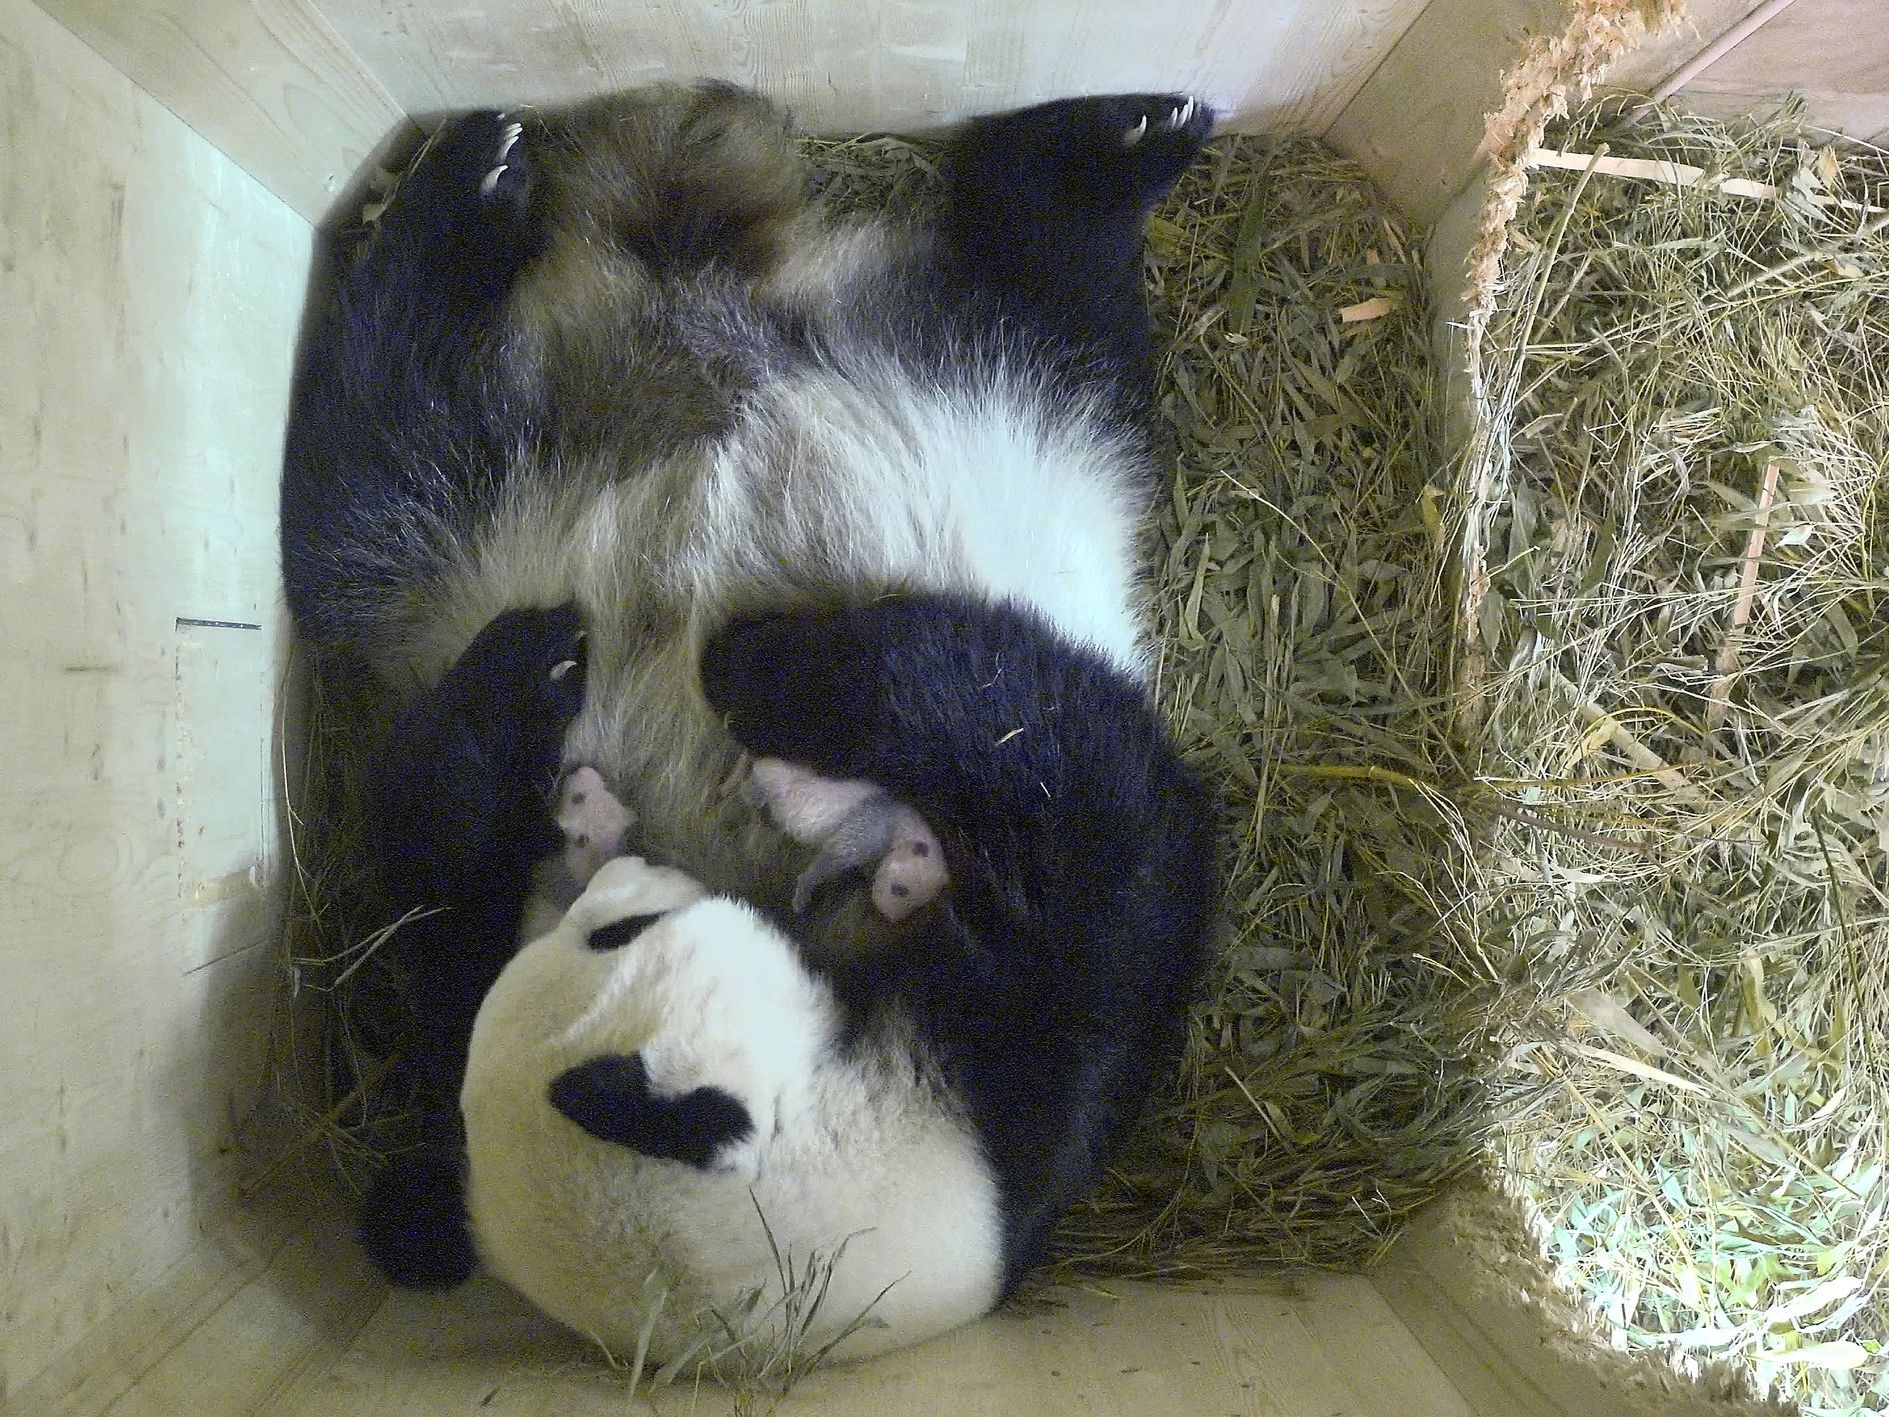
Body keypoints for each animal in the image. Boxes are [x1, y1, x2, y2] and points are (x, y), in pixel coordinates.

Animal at [275, 85, 1224, 1367]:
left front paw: (729, 667)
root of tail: (696, 304)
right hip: (474, 522)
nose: (617, 864)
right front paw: (682, 671)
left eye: (614, 931)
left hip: (989, 398)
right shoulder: (1018, 1063)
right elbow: (1104, 819)